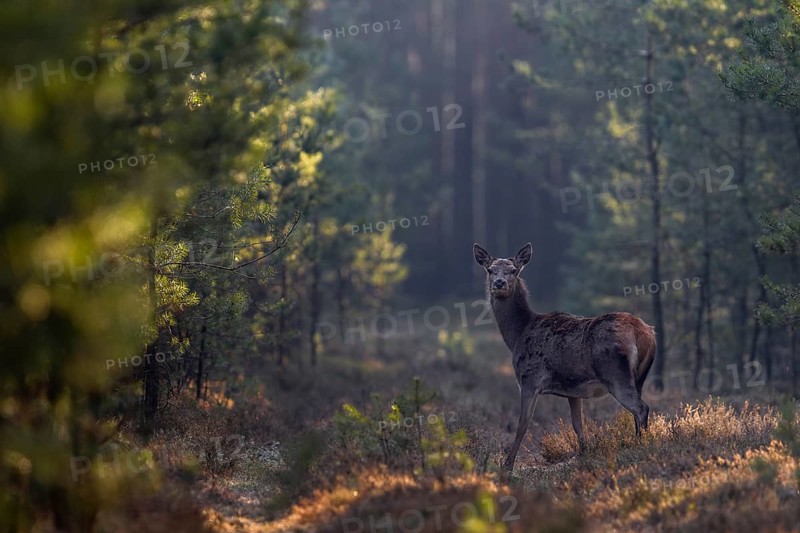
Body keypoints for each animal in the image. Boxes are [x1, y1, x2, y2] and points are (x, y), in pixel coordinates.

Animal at [473, 242, 656, 471]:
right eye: (490, 270)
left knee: (641, 408)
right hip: (638, 377)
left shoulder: (529, 380)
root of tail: (645, 333)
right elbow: (578, 424)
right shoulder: (573, 390)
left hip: (614, 373)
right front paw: (585, 453)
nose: (499, 283)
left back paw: (641, 446)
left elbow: (522, 424)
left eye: (513, 270)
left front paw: (507, 465)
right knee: (637, 410)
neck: (518, 334)